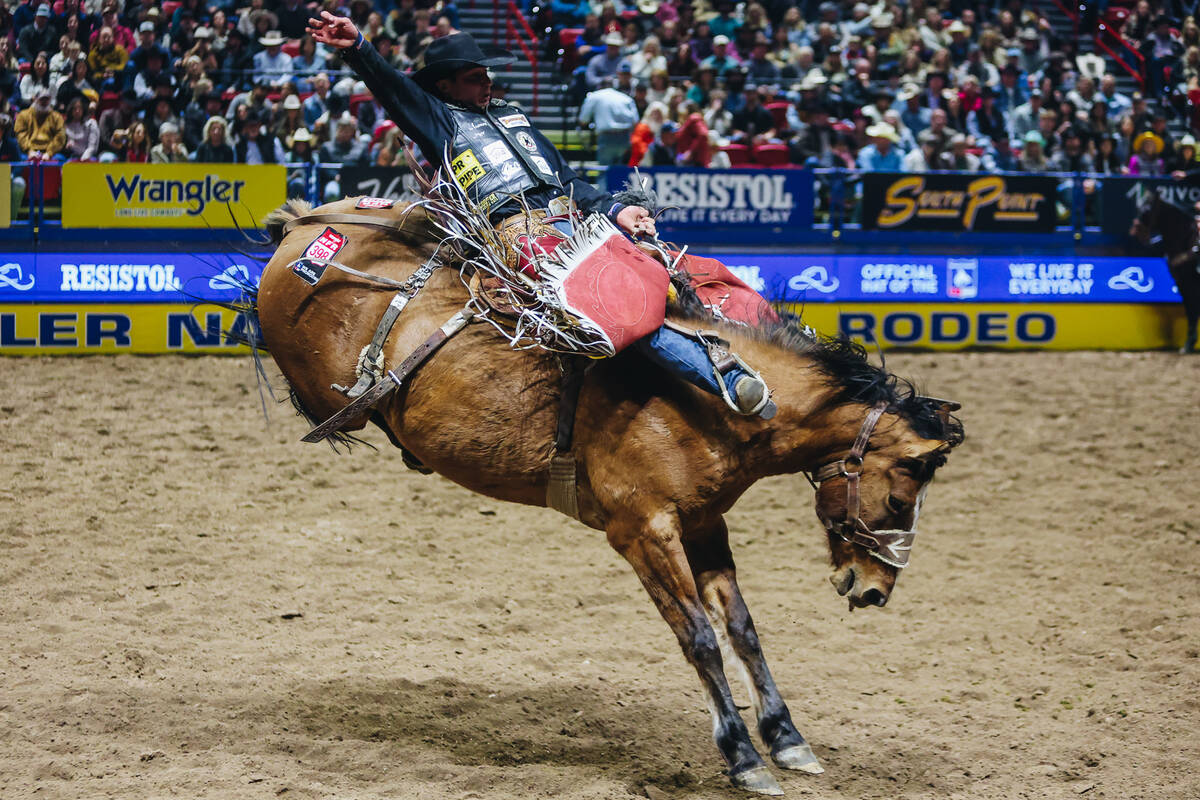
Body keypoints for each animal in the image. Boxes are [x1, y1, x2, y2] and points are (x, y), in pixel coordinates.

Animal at [243, 194, 964, 796]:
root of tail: (304, 230)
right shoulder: (642, 530)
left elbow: (741, 628)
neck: (713, 403)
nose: (872, 589)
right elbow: (698, 637)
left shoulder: (705, 522)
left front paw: (786, 738)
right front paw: (742, 756)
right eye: (899, 500)